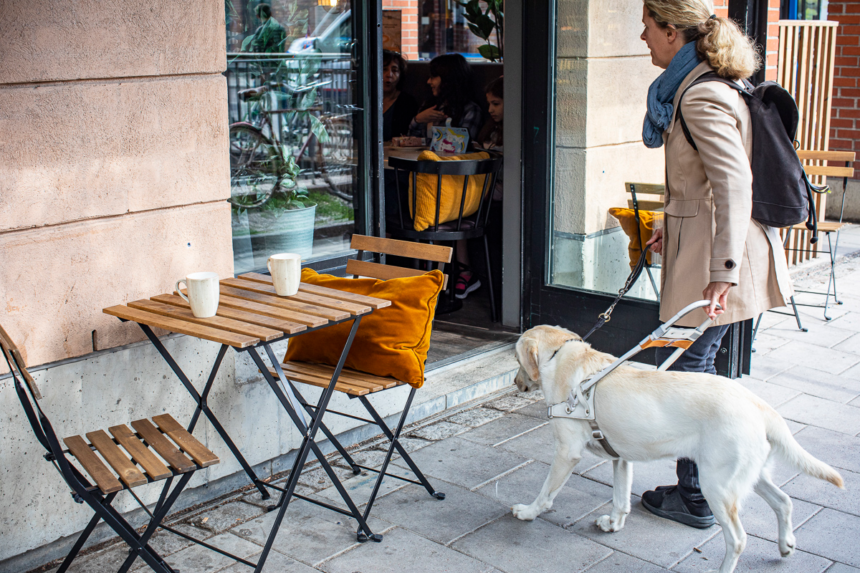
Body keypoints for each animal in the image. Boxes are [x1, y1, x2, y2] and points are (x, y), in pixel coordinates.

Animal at [512, 326, 844, 572]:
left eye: (516, 361)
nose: (515, 382)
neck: (560, 356)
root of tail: (759, 405)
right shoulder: (621, 459)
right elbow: (620, 498)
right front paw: (614, 524)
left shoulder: (567, 452)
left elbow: (546, 493)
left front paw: (528, 512)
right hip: (748, 475)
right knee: (784, 501)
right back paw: (786, 544)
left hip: (717, 486)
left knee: (738, 539)